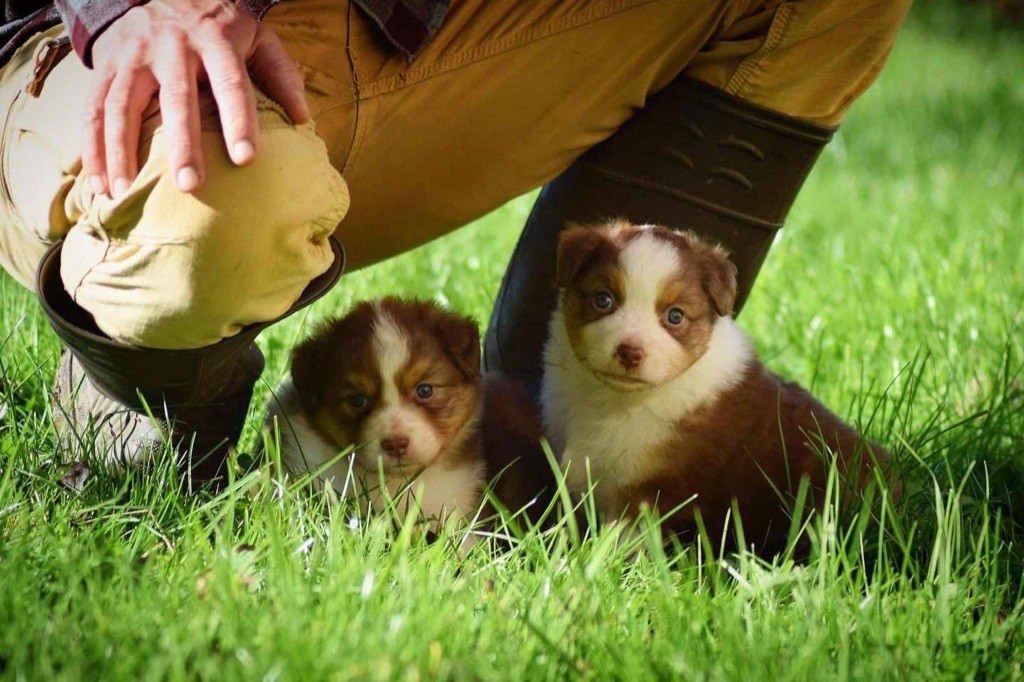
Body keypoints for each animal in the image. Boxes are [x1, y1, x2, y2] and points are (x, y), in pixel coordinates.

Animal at [544, 220, 897, 557]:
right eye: (603, 299)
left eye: (675, 316)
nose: (630, 352)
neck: (618, 399)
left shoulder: (655, 492)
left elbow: (621, 542)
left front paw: (595, 563)